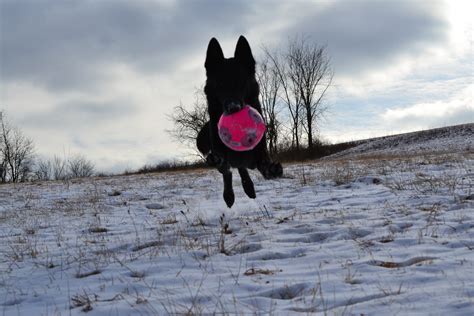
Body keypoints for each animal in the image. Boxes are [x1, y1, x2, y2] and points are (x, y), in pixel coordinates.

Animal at [195, 35, 282, 207]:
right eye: (220, 84)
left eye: (242, 82)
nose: (233, 108)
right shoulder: (221, 156)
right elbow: (224, 167)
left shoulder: (260, 152)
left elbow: (264, 165)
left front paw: (272, 170)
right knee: (228, 173)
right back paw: (229, 195)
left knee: (241, 168)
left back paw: (248, 187)